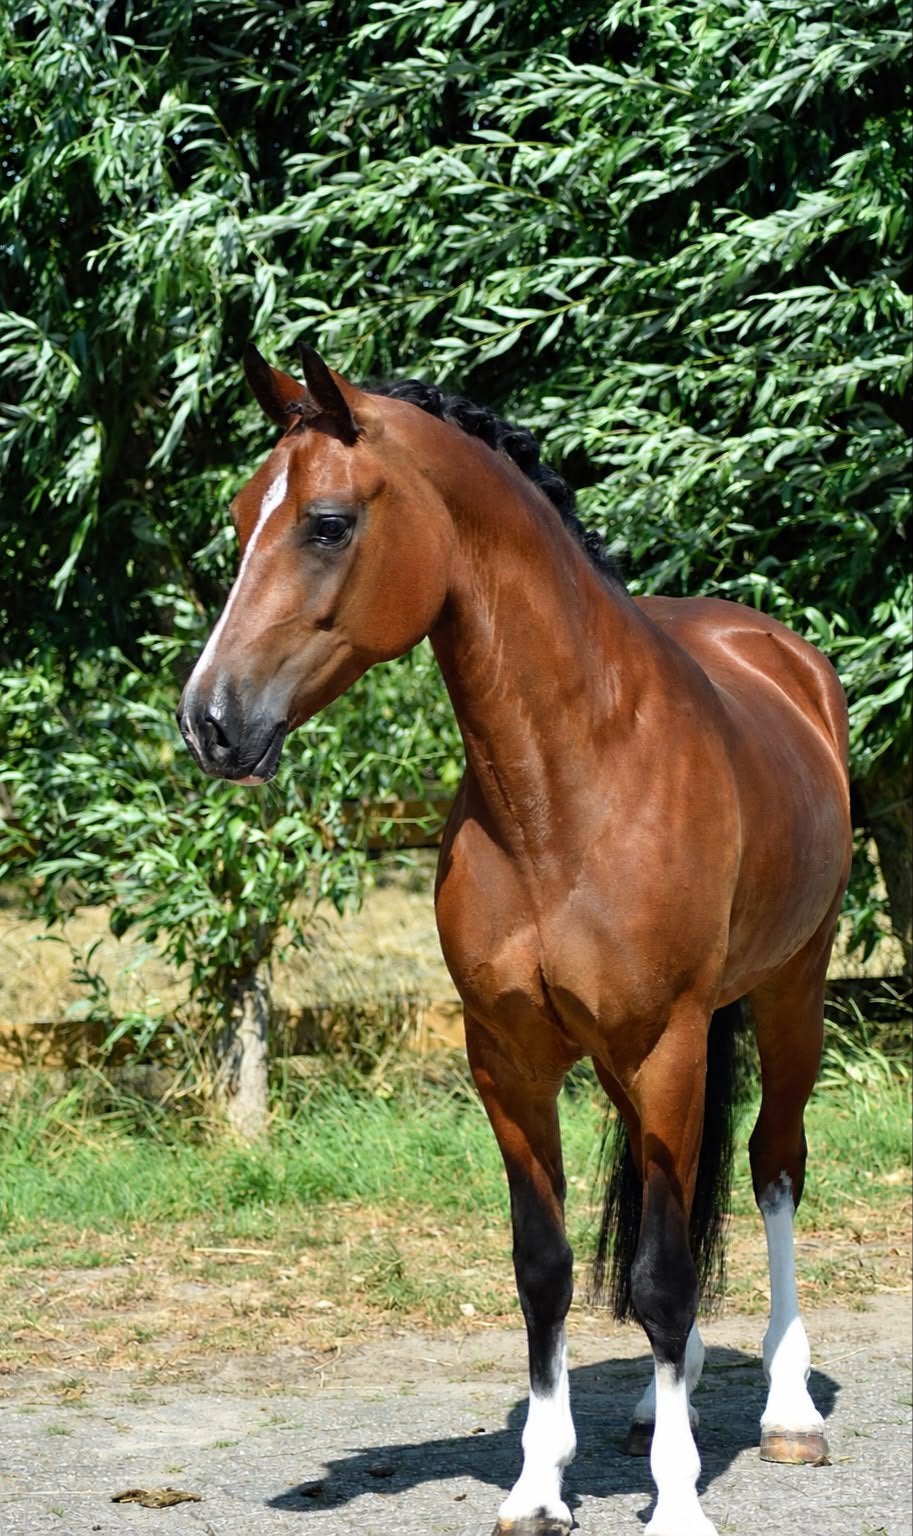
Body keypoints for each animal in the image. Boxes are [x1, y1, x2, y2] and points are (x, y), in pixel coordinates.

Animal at [177, 343, 852, 1536]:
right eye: (240, 513)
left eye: (327, 523)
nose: (209, 721)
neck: (567, 786)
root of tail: (779, 655)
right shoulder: (508, 1056)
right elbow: (547, 1267)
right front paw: (540, 1485)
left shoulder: (665, 1043)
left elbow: (664, 1273)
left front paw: (677, 1503)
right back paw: (655, 1404)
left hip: (787, 998)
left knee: (772, 1170)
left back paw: (785, 1412)